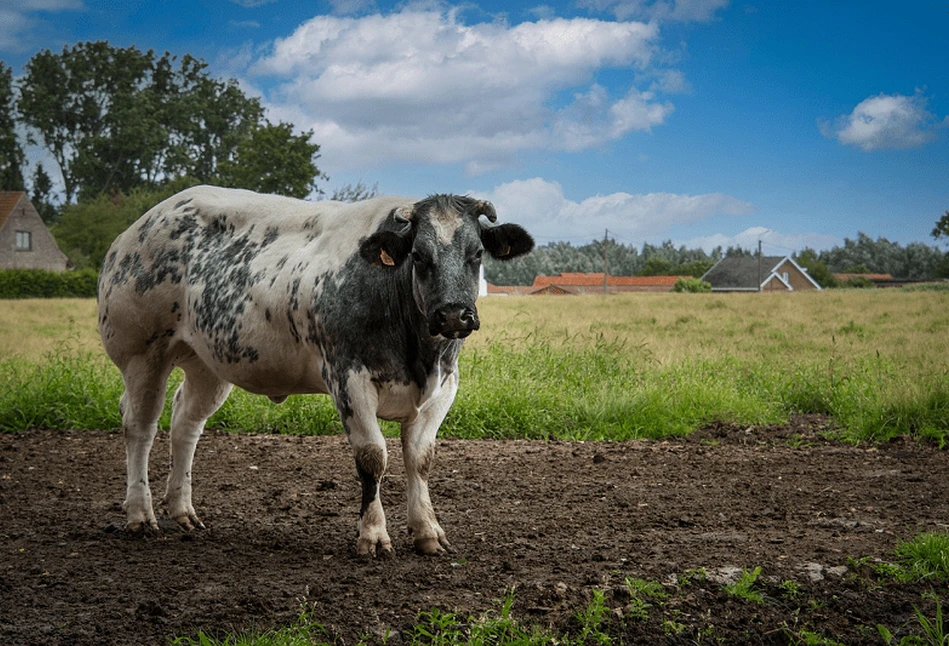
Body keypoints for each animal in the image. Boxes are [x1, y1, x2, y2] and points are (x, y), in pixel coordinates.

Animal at [100, 186, 536, 556]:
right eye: (419, 256)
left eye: (476, 253)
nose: (453, 315)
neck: (417, 353)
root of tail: (145, 222)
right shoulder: (348, 379)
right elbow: (373, 457)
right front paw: (373, 535)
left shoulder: (444, 385)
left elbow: (420, 458)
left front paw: (428, 531)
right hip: (142, 355)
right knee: (140, 427)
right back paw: (140, 514)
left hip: (209, 364)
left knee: (185, 424)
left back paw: (182, 510)